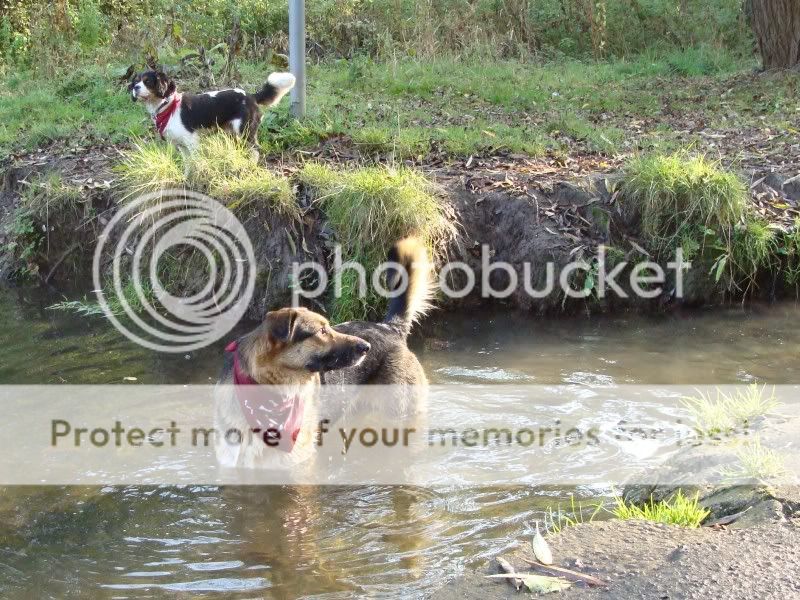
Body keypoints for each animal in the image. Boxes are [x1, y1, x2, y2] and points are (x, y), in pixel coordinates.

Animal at [212, 236, 432, 468]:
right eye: (322, 331)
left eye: (328, 327)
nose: (367, 348)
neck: (269, 391)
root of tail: (388, 327)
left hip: (401, 412)